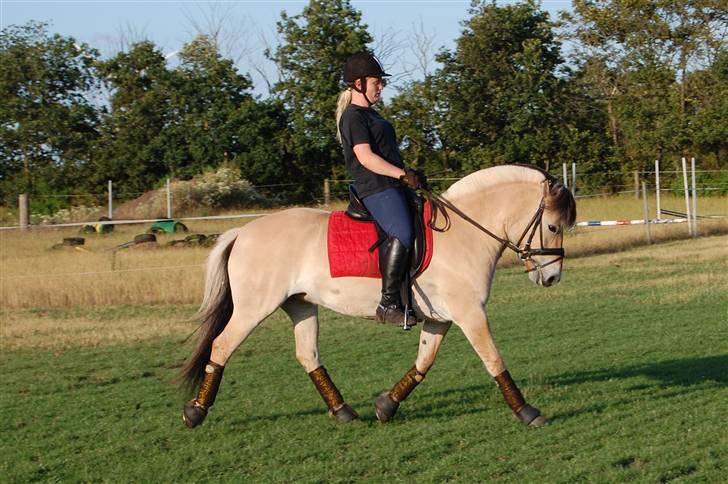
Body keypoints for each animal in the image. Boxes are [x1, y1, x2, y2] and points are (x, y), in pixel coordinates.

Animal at [181, 165, 576, 428]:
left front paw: (386, 405)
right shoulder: (470, 314)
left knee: (307, 355)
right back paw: (195, 412)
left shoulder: (441, 318)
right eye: (552, 226)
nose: (552, 277)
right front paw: (528, 412)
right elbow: (493, 359)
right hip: (254, 308)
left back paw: (345, 413)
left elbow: (424, 362)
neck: (464, 235)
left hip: (301, 305)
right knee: (221, 346)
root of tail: (243, 232)